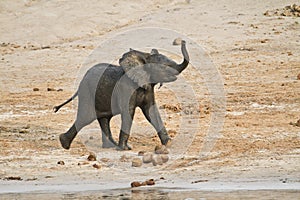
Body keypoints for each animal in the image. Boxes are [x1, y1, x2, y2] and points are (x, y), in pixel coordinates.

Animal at [54, 40, 189, 150]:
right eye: (164, 67)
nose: (183, 41)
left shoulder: (148, 87)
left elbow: (151, 111)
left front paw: (169, 143)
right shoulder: (126, 88)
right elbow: (129, 111)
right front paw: (126, 148)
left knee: (104, 118)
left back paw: (110, 146)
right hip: (87, 93)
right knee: (85, 117)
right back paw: (64, 143)